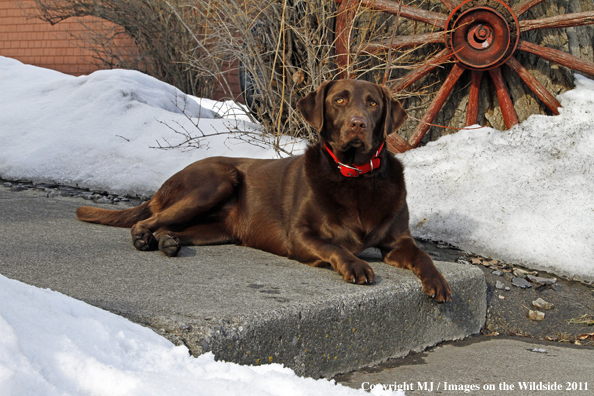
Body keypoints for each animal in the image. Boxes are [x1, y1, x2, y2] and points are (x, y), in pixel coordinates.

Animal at [76, 81, 450, 304]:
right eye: (340, 100)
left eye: (372, 104)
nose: (357, 123)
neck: (355, 175)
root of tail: (165, 182)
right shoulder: (299, 235)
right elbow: (336, 247)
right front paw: (356, 265)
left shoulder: (398, 241)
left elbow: (423, 256)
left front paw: (439, 282)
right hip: (216, 181)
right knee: (148, 220)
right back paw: (145, 238)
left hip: (218, 227)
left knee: (170, 227)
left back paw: (167, 242)